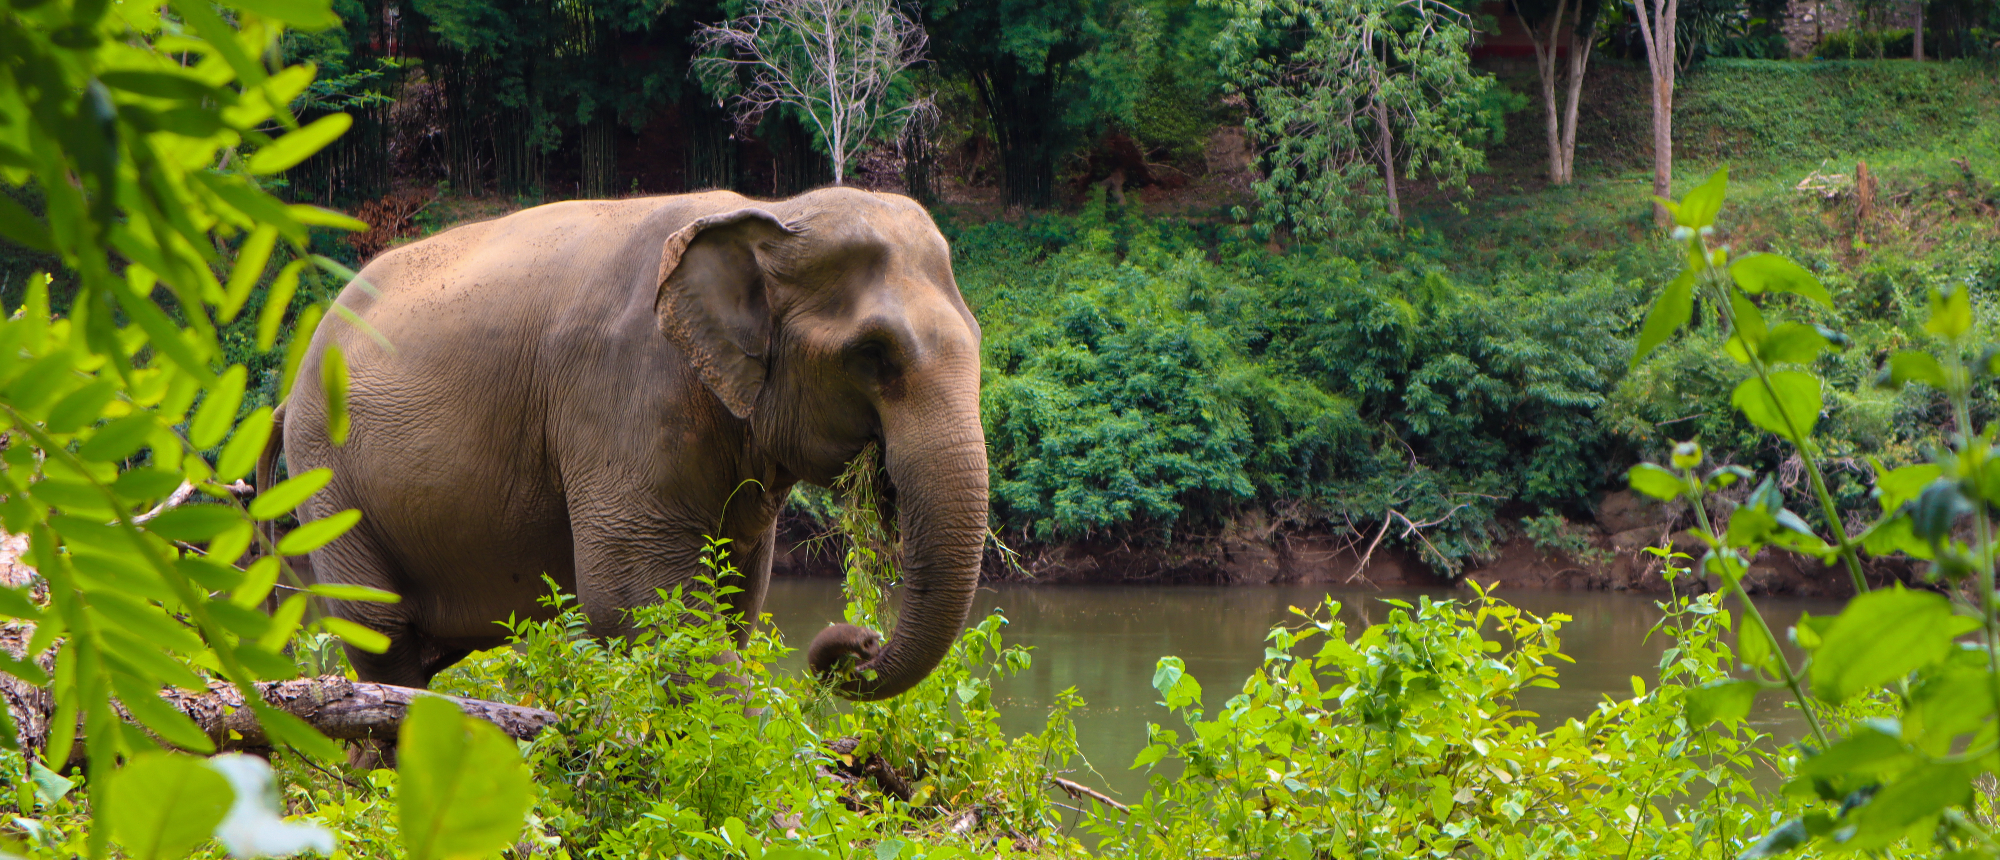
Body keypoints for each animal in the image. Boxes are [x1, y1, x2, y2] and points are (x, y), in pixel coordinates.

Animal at [257, 187, 988, 700]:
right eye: (873, 355)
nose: (859, 640)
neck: (772, 214)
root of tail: (291, 390)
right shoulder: (620, 390)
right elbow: (636, 596)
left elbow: (734, 597)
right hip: (328, 475)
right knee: (380, 633)